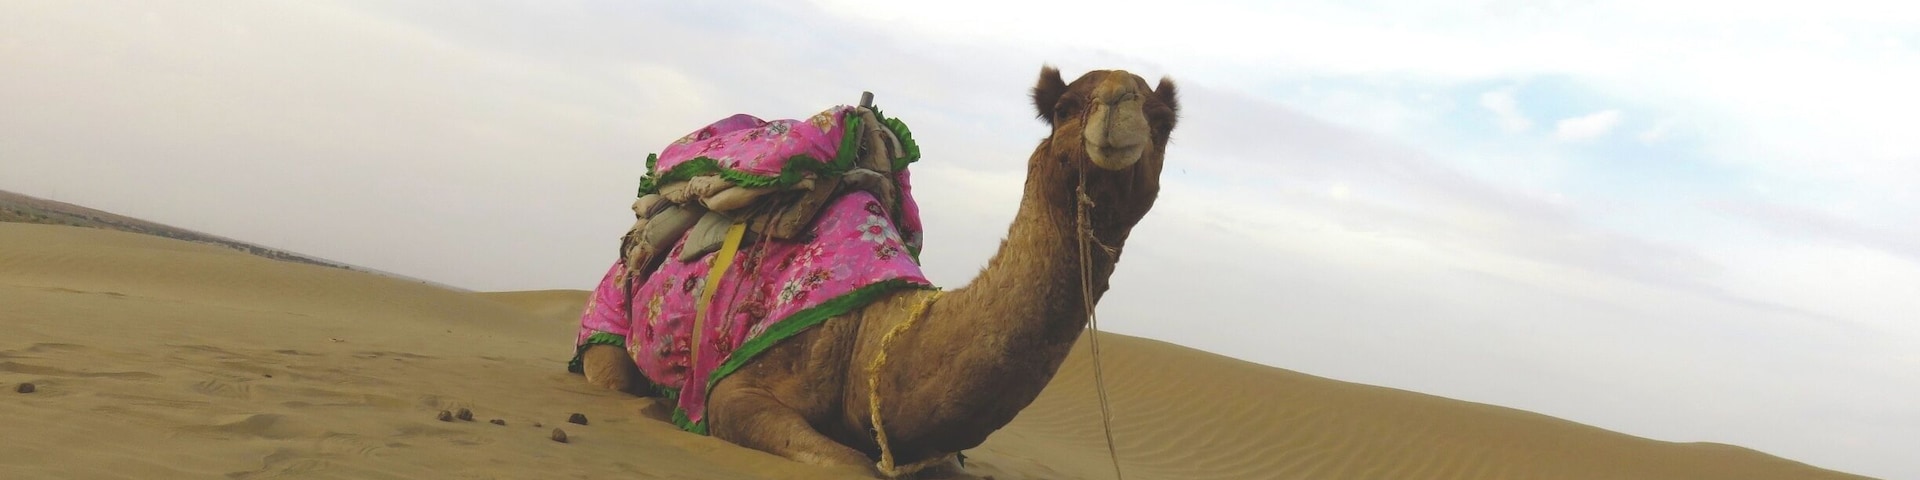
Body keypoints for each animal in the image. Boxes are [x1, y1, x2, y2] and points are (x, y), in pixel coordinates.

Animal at [577, 66, 1180, 477]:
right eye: (1065, 106)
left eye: (1162, 120)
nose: (1119, 102)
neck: (868, 340)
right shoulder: (735, 390)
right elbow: (854, 464)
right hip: (609, 321)